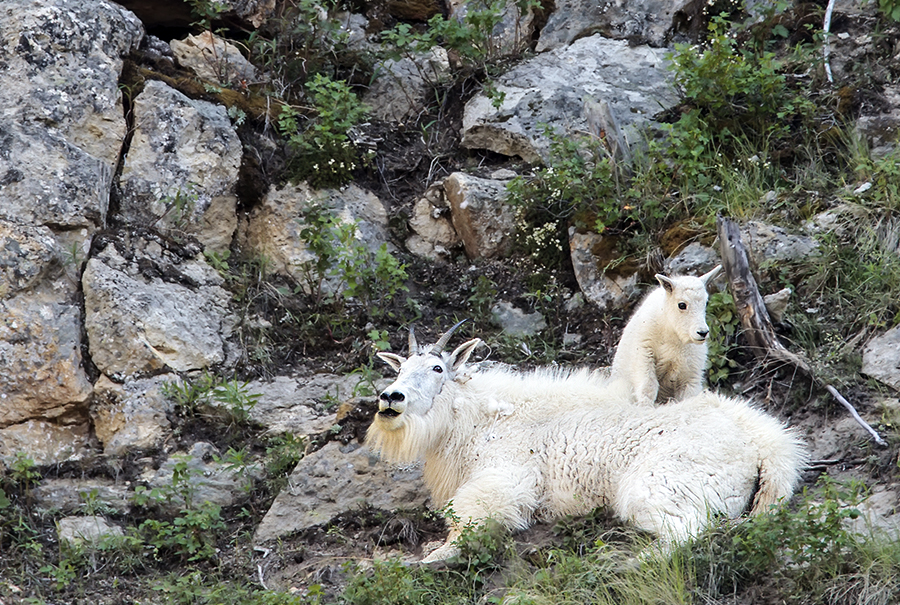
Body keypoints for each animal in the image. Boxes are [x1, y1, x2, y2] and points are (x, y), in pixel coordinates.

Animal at [368, 324, 808, 564]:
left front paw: (435, 555)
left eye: (437, 368)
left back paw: (633, 562)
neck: (478, 417)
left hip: (659, 483)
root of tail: (766, 445)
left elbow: (470, 516)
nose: (391, 398)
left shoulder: (507, 477)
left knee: (689, 530)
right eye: (401, 369)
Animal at [608, 264, 720, 406]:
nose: (702, 332)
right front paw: (646, 407)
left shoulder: (690, 372)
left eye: (706, 302)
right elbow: (648, 386)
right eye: (682, 305)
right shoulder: (644, 353)